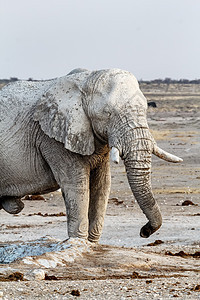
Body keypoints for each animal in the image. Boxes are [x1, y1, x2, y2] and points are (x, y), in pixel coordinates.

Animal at [0, 67, 182, 241]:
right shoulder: (52, 138)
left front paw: (92, 243)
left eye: (145, 109)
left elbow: (102, 185)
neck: (86, 80)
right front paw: (78, 242)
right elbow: (76, 184)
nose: (144, 231)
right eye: (108, 113)